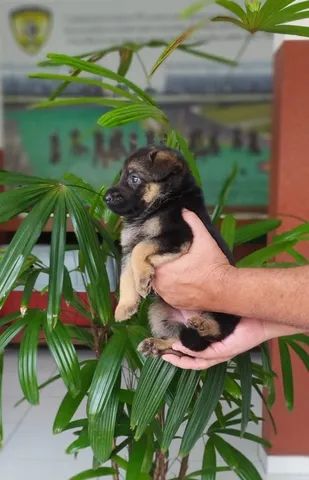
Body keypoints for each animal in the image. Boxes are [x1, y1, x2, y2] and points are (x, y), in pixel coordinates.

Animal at [104, 146, 239, 356]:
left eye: (134, 178)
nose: (106, 197)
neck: (164, 201)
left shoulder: (179, 235)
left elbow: (141, 248)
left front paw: (143, 277)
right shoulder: (127, 248)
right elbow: (125, 276)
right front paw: (125, 306)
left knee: (216, 333)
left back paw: (204, 325)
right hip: (158, 311)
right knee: (179, 343)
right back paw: (156, 343)